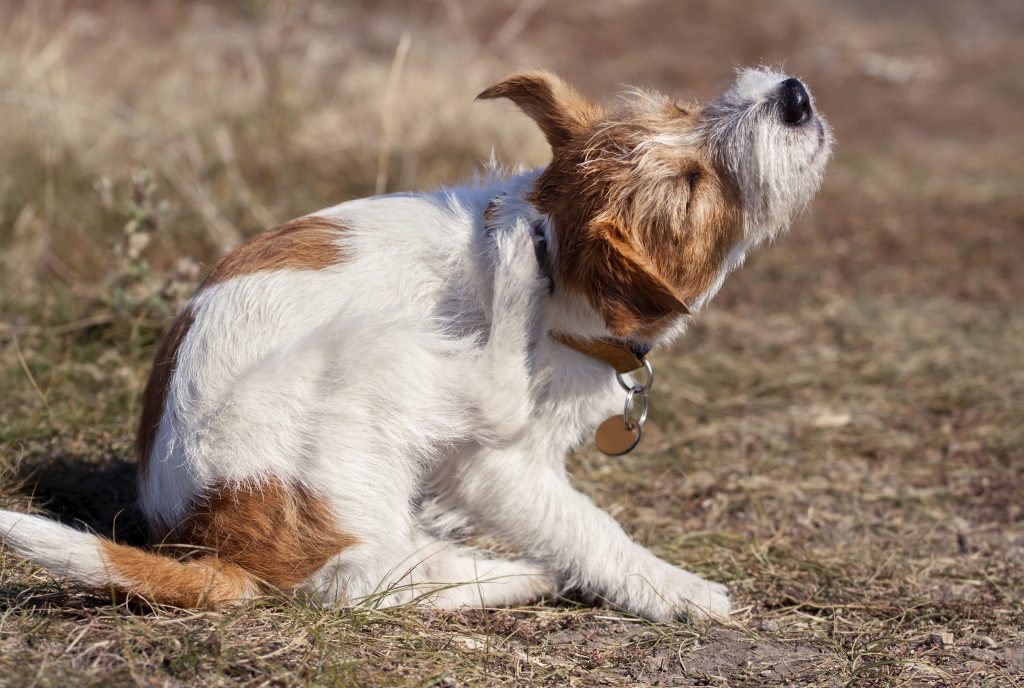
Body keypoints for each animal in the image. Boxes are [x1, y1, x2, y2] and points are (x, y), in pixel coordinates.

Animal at [0, 67, 831, 622]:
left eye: (684, 109)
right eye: (692, 184)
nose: (793, 94)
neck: (565, 269)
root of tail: (214, 542)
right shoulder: (498, 467)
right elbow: (587, 526)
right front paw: (676, 589)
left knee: (389, 570)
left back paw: (508, 571)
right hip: (374, 352)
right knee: (361, 578)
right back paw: (510, 269)